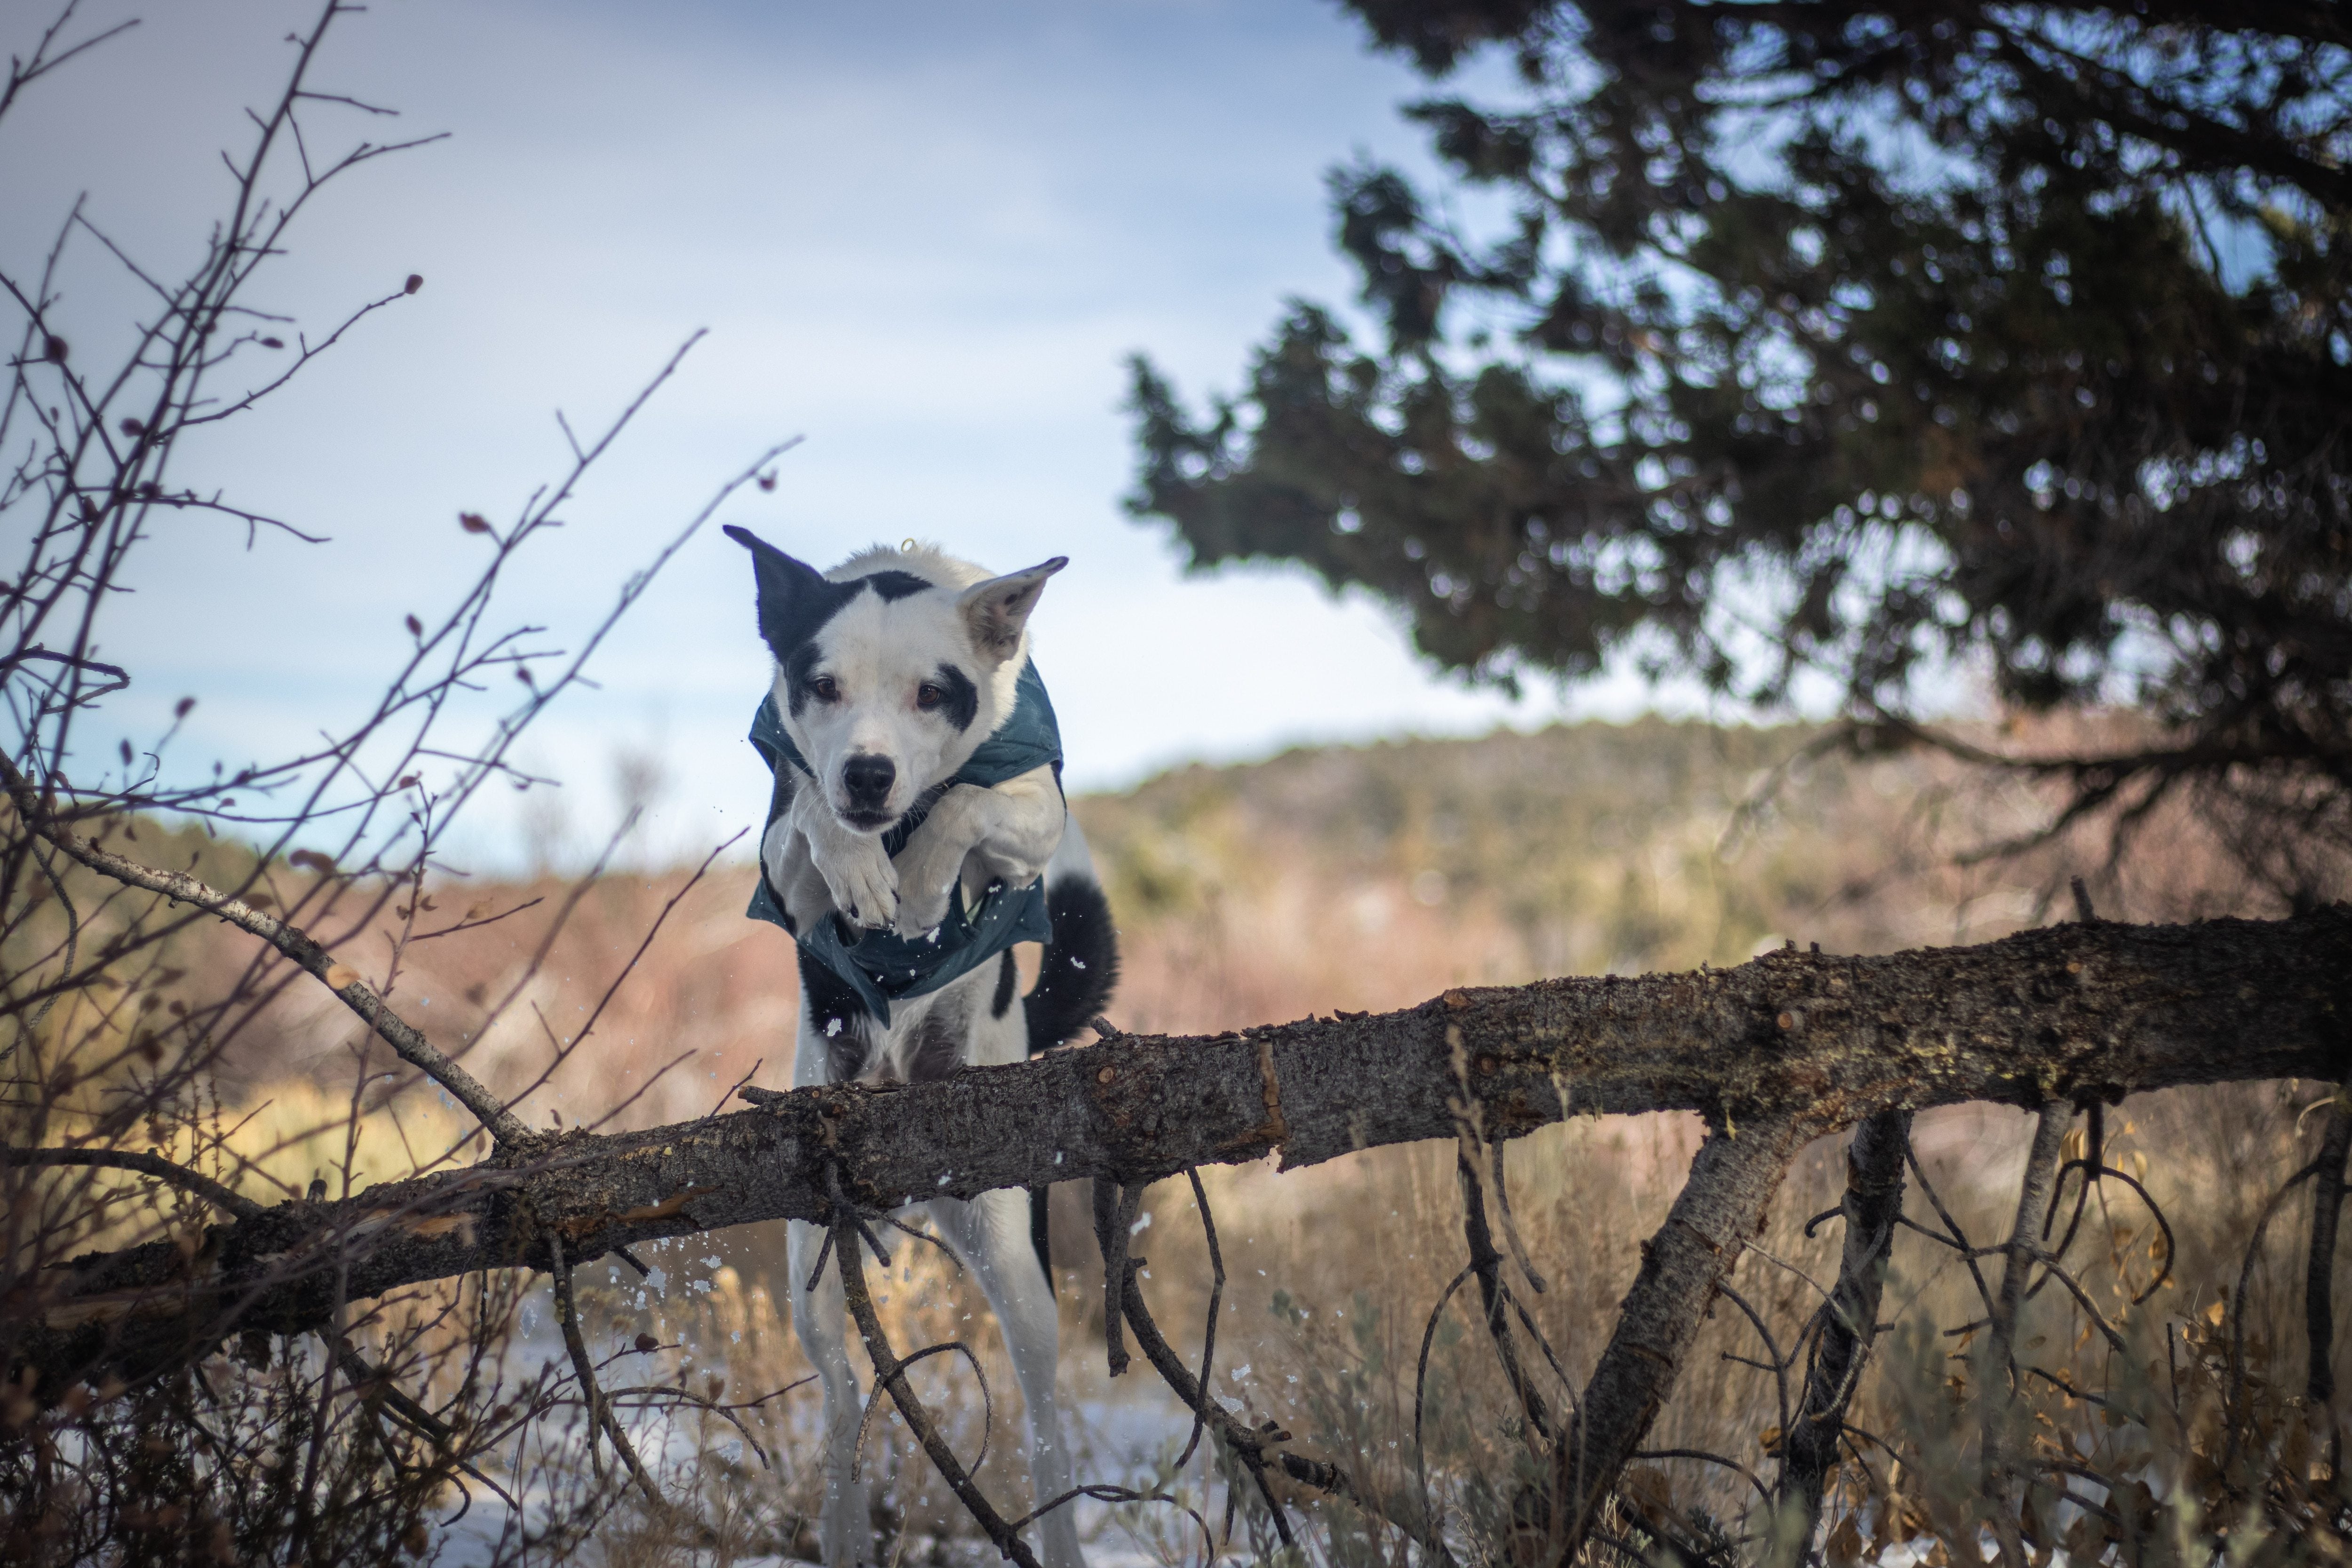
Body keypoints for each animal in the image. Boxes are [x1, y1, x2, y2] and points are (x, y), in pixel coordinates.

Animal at [720, 526, 1115, 1568]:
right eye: (821, 685)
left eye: (933, 693)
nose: (867, 773)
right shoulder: (784, 860)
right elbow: (811, 824)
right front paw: (863, 865)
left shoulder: (1032, 815)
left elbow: (966, 807)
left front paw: (930, 874)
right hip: (812, 1267)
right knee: (843, 1397)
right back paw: (844, 1522)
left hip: (1014, 1257)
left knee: (1045, 1415)